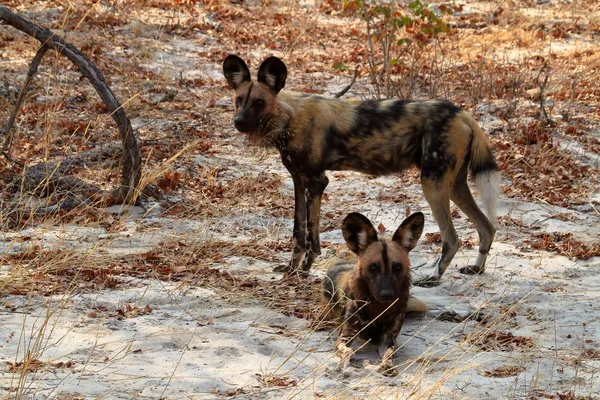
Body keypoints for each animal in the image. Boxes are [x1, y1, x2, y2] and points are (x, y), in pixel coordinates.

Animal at [223, 54, 500, 286]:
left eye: (259, 102)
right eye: (239, 100)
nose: (239, 123)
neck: (290, 117)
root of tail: (462, 113)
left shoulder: (316, 182)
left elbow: (312, 236)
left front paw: (304, 271)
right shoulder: (299, 182)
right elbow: (298, 232)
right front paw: (291, 269)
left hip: (432, 184)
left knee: (452, 238)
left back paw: (434, 276)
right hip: (453, 185)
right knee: (487, 227)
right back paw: (476, 269)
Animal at [324, 211, 426, 376]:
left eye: (397, 267)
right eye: (373, 267)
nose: (387, 295)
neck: (379, 307)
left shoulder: (389, 339)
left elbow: (388, 354)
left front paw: (387, 365)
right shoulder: (346, 336)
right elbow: (348, 351)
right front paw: (345, 366)